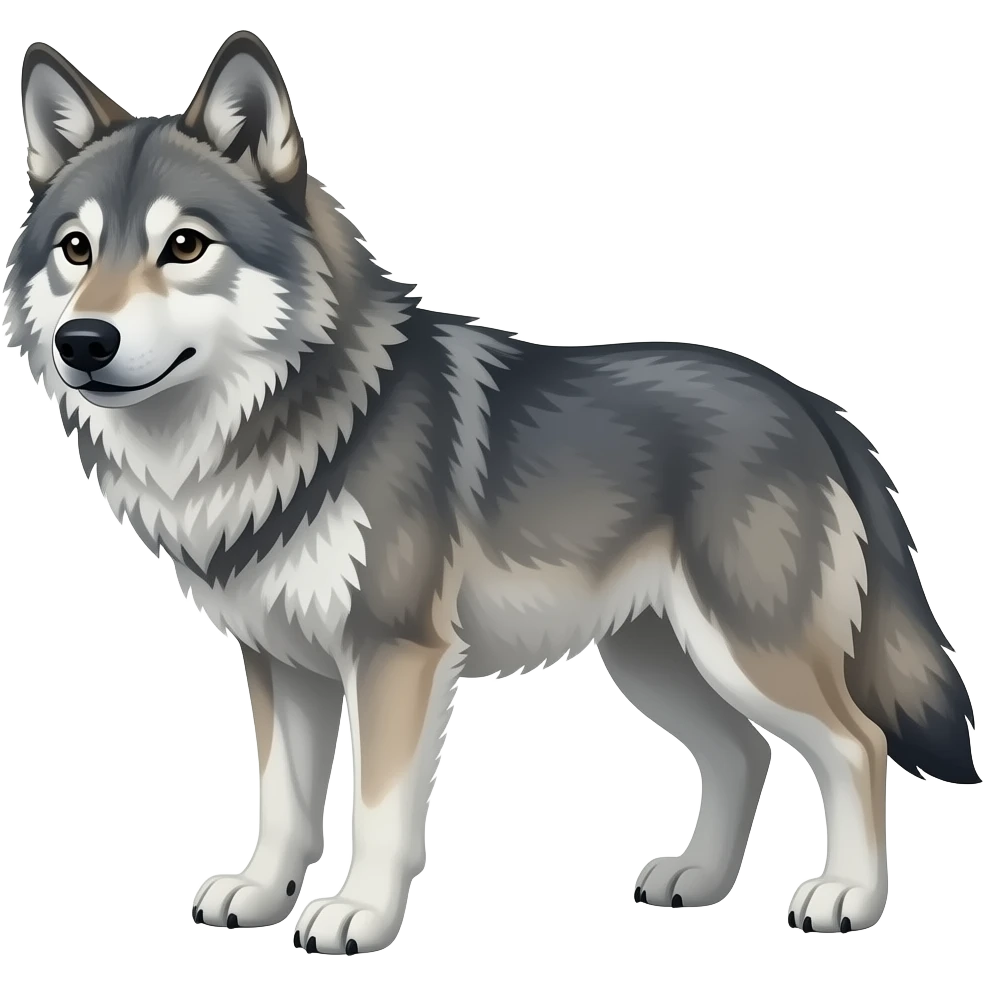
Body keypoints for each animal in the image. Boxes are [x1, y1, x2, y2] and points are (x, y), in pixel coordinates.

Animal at [4, 30, 980, 954]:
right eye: (76, 250)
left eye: (184, 246)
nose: (83, 342)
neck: (284, 426)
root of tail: (810, 403)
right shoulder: (280, 660)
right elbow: (282, 800)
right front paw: (259, 891)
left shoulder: (396, 652)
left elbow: (377, 807)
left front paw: (358, 913)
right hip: (657, 658)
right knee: (742, 751)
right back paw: (698, 878)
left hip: (745, 650)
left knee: (856, 743)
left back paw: (847, 895)